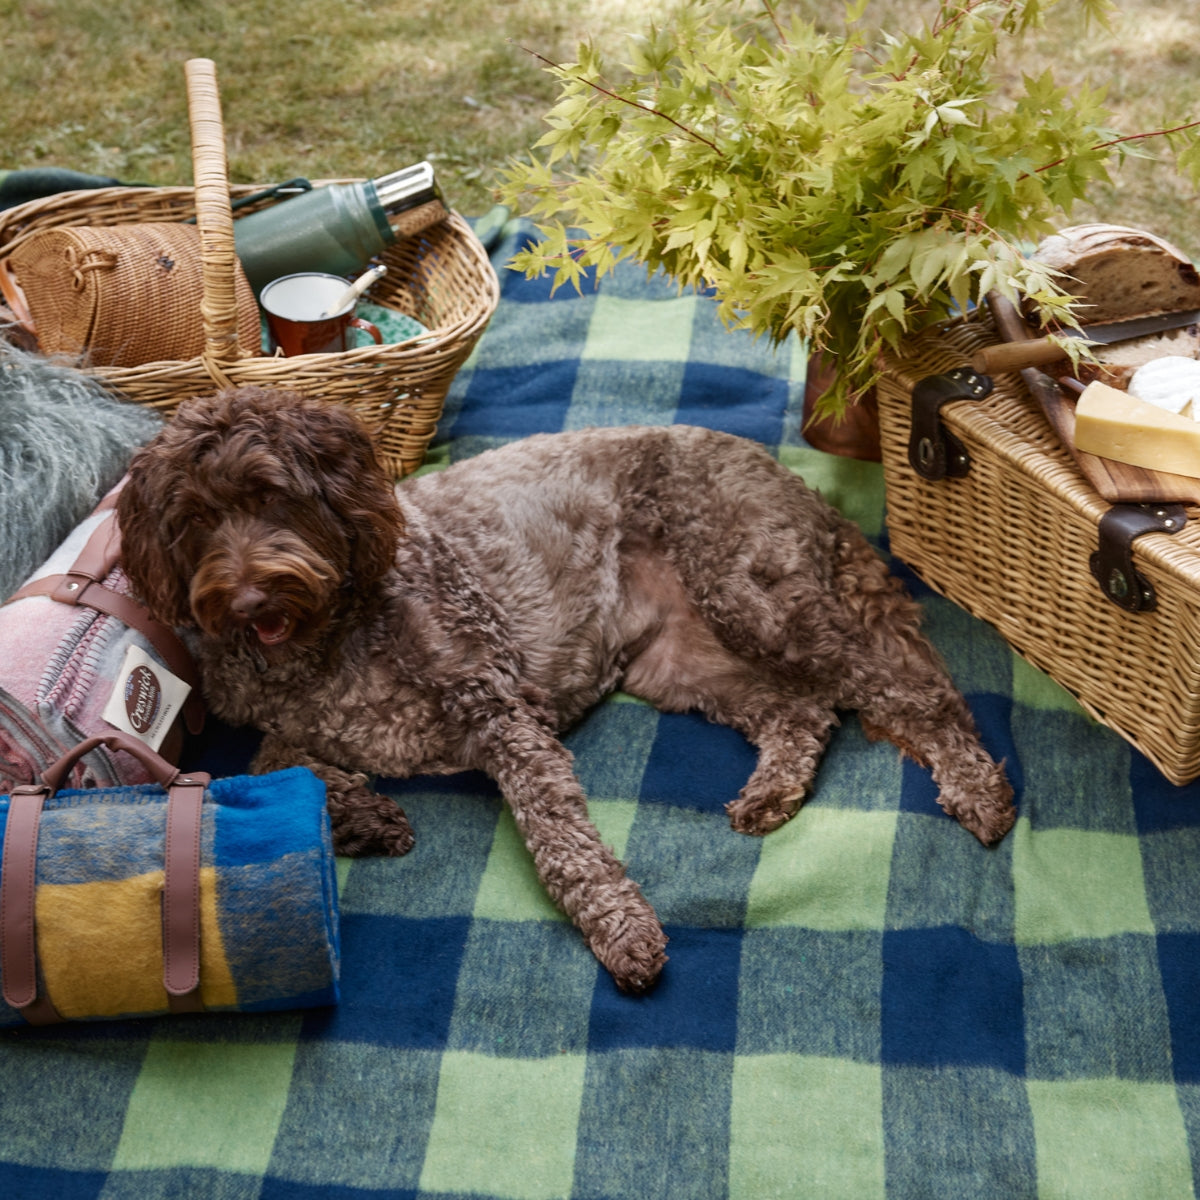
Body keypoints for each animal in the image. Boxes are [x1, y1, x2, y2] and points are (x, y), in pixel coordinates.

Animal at [114, 386, 1012, 993]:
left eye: (274, 496)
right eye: (193, 520)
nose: (250, 600)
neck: (326, 638)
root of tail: (789, 477)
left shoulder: (501, 713)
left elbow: (561, 843)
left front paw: (619, 931)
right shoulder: (281, 721)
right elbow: (265, 763)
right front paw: (365, 817)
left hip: (758, 599)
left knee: (907, 691)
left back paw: (976, 788)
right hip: (683, 662)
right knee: (803, 711)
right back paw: (772, 793)